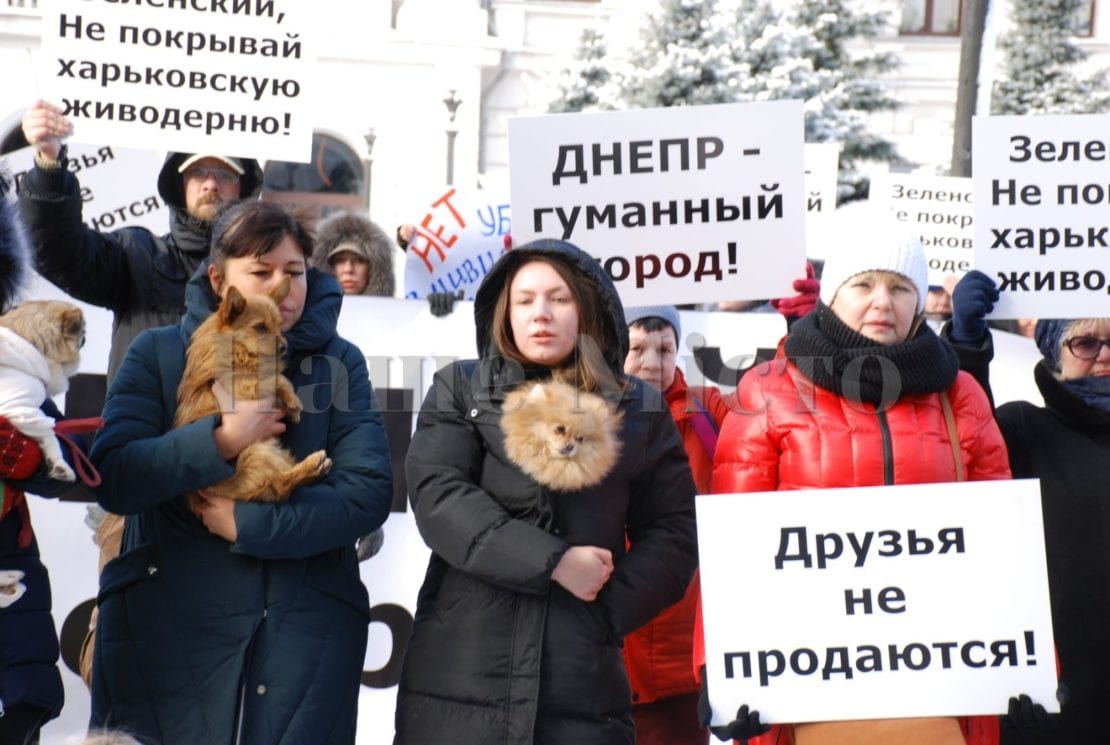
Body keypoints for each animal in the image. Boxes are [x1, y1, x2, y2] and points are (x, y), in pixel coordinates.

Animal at [174, 275, 328, 512]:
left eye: (279, 325)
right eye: (261, 327)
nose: (284, 347)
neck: (241, 352)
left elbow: (275, 377)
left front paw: (290, 407)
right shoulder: (239, 386)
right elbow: (275, 378)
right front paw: (293, 401)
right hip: (255, 453)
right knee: (282, 485)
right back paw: (313, 466)